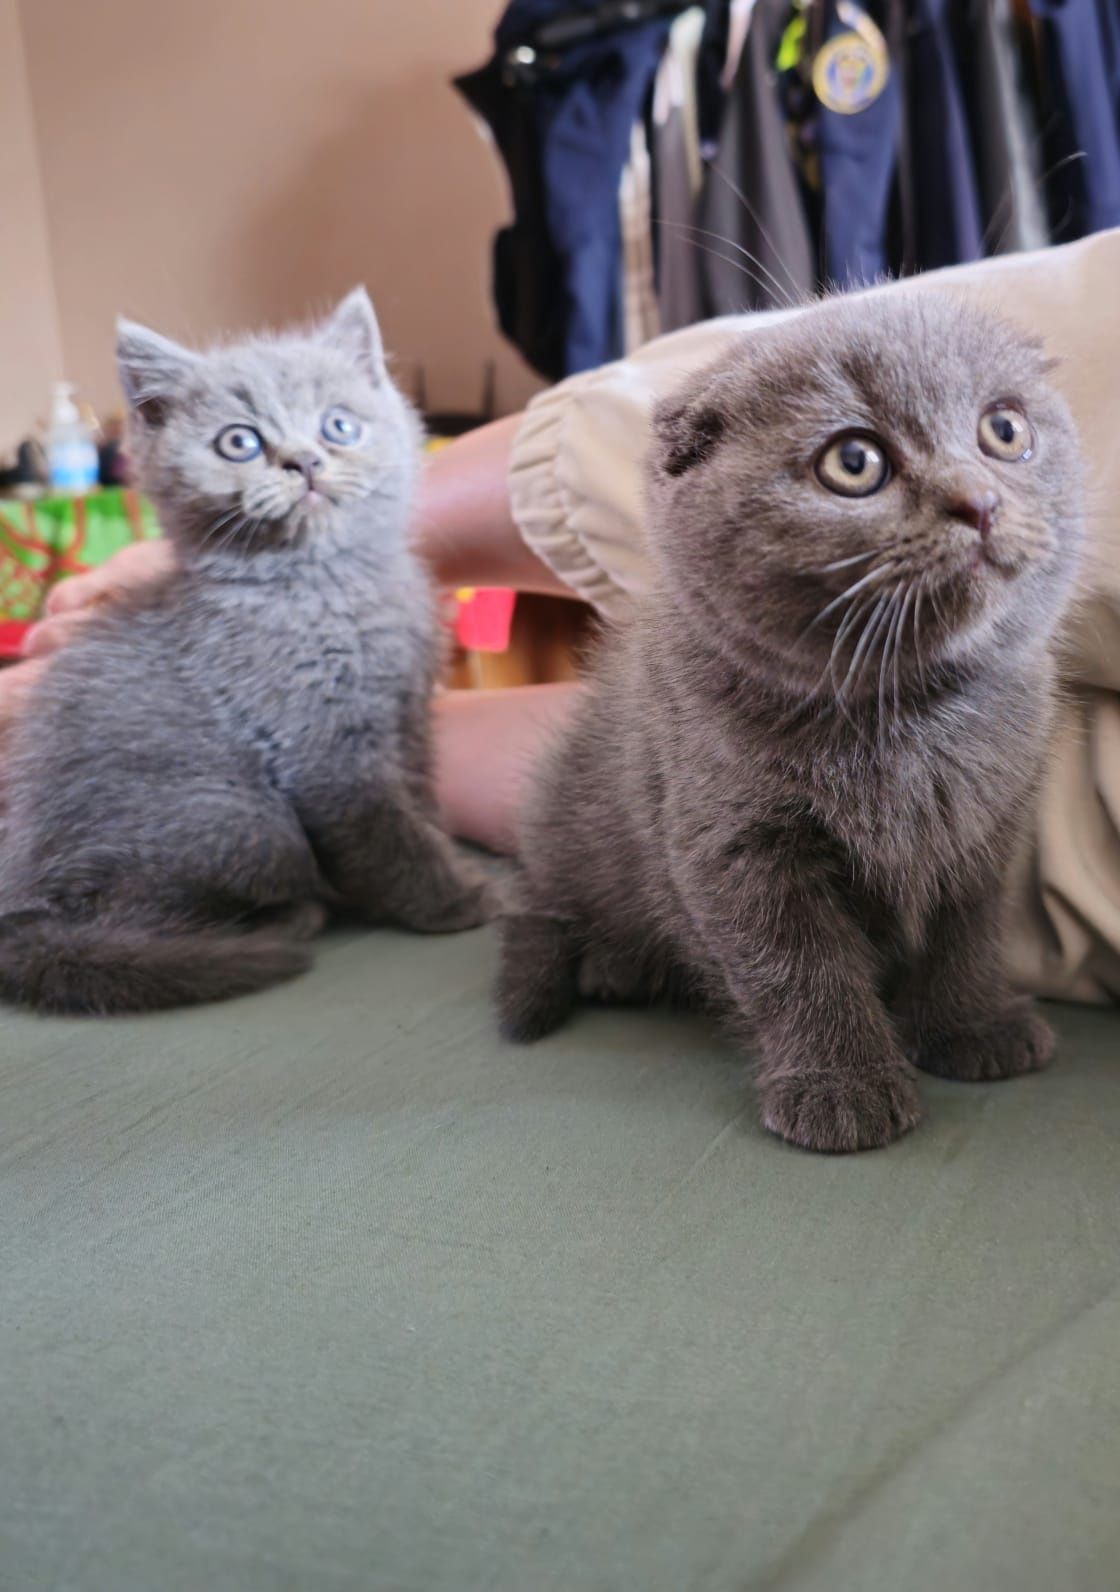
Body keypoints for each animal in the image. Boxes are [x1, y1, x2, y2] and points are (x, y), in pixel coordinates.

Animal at [0, 288, 493, 1012]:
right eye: (240, 442)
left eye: (340, 426)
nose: (305, 461)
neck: (327, 585)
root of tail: (20, 908)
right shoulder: (323, 749)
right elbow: (384, 830)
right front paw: (455, 900)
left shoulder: (408, 717)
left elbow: (418, 799)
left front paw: (446, 866)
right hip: (246, 821)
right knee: (130, 914)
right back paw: (289, 918)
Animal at [496, 292, 1081, 1152]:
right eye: (854, 462)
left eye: (1004, 430)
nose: (979, 502)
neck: (909, 716)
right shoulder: (735, 844)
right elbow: (798, 968)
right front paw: (842, 1087)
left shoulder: (987, 830)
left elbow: (968, 935)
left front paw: (973, 1028)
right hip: (569, 830)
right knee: (545, 907)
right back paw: (610, 963)